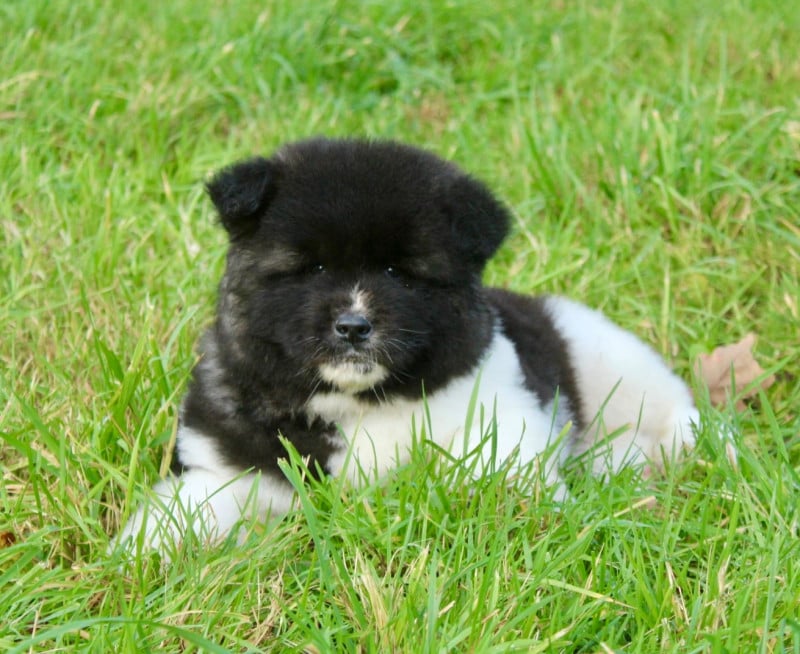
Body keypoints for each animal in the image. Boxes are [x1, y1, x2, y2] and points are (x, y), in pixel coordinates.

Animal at [114, 138, 698, 556]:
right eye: (313, 268)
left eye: (397, 272)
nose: (353, 326)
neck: (358, 403)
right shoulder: (229, 468)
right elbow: (191, 509)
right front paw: (137, 558)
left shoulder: (504, 414)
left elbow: (497, 469)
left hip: (608, 358)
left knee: (678, 410)